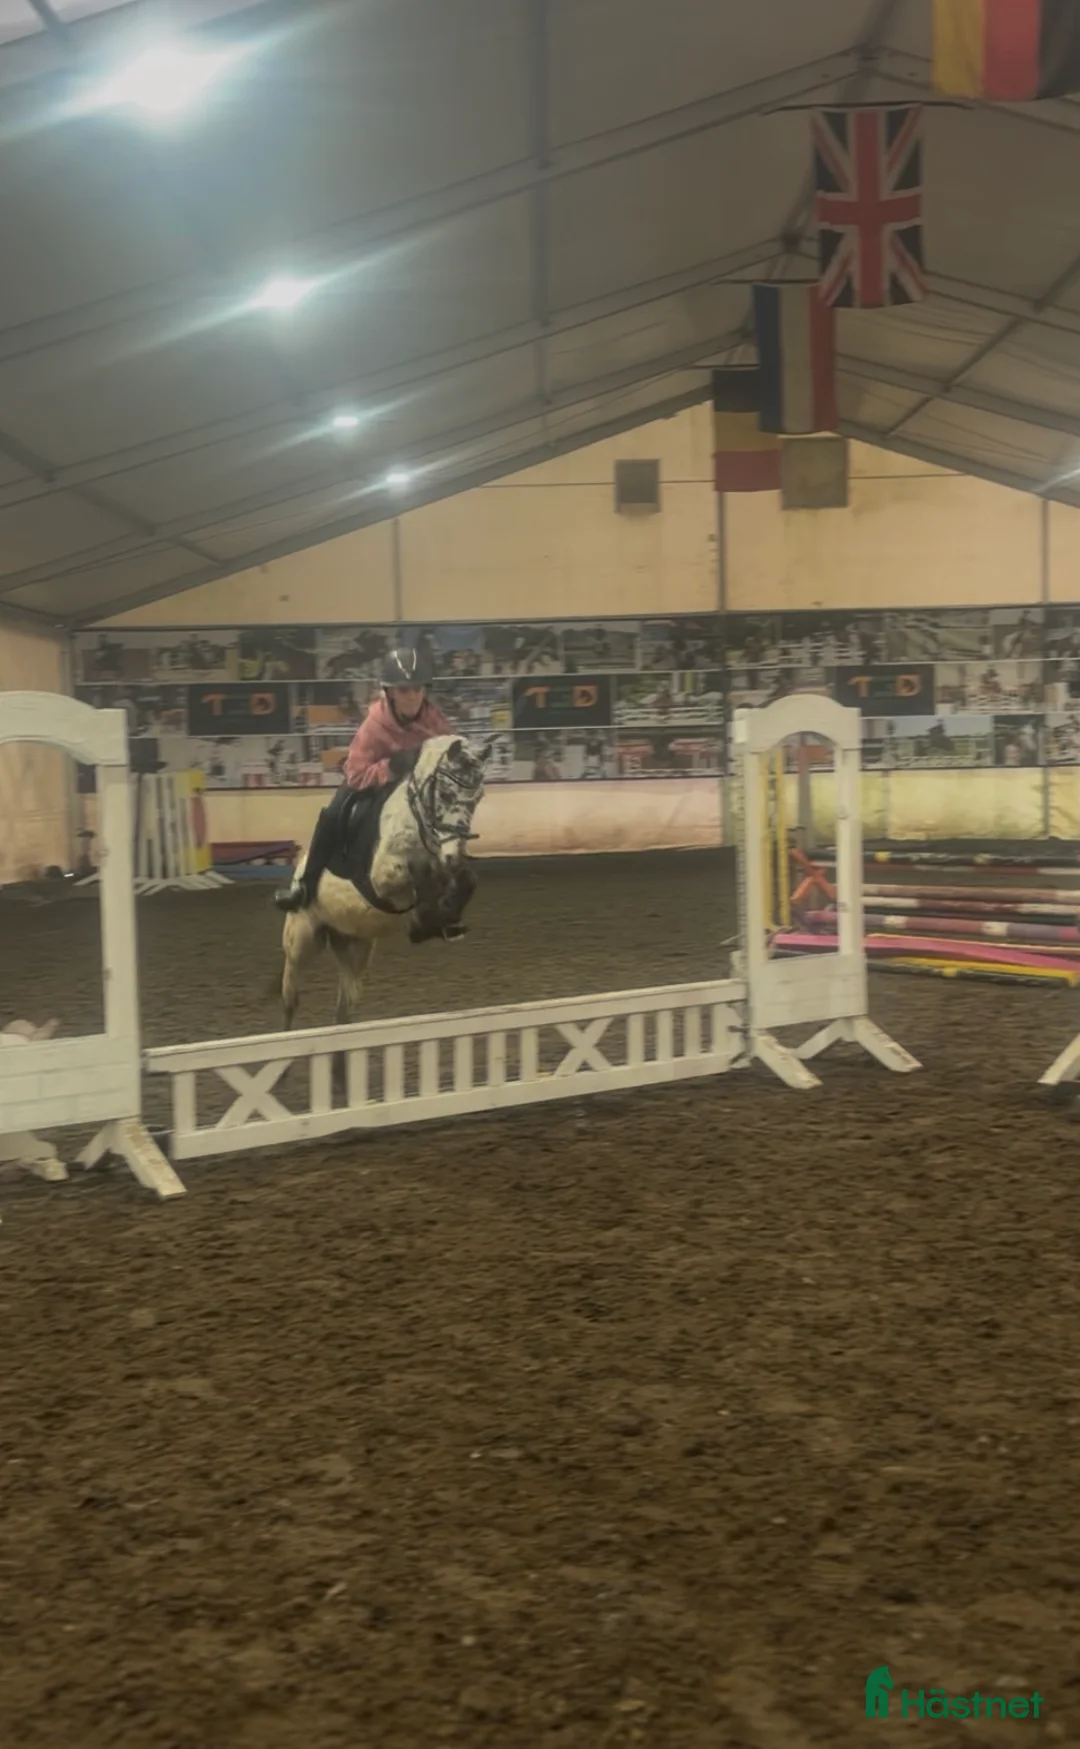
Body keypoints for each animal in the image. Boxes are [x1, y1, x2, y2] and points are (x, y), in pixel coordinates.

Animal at [280, 734, 490, 1030]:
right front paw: (423, 923)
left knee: (346, 1001)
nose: (454, 855)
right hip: (301, 939)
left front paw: (443, 921)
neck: (417, 819)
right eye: (445, 794)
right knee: (291, 997)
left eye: (477, 798)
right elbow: (417, 878)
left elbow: (465, 880)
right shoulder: (382, 878)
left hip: (355, 944)